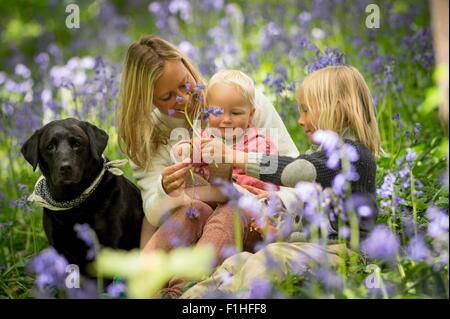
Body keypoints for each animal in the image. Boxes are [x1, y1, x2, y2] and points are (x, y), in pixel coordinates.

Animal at [21, 119, 144, 274]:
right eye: (50, 147)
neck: (74, 205)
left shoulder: (109, 246)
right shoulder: (58, 248)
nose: (65, 167)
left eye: (77, 143)